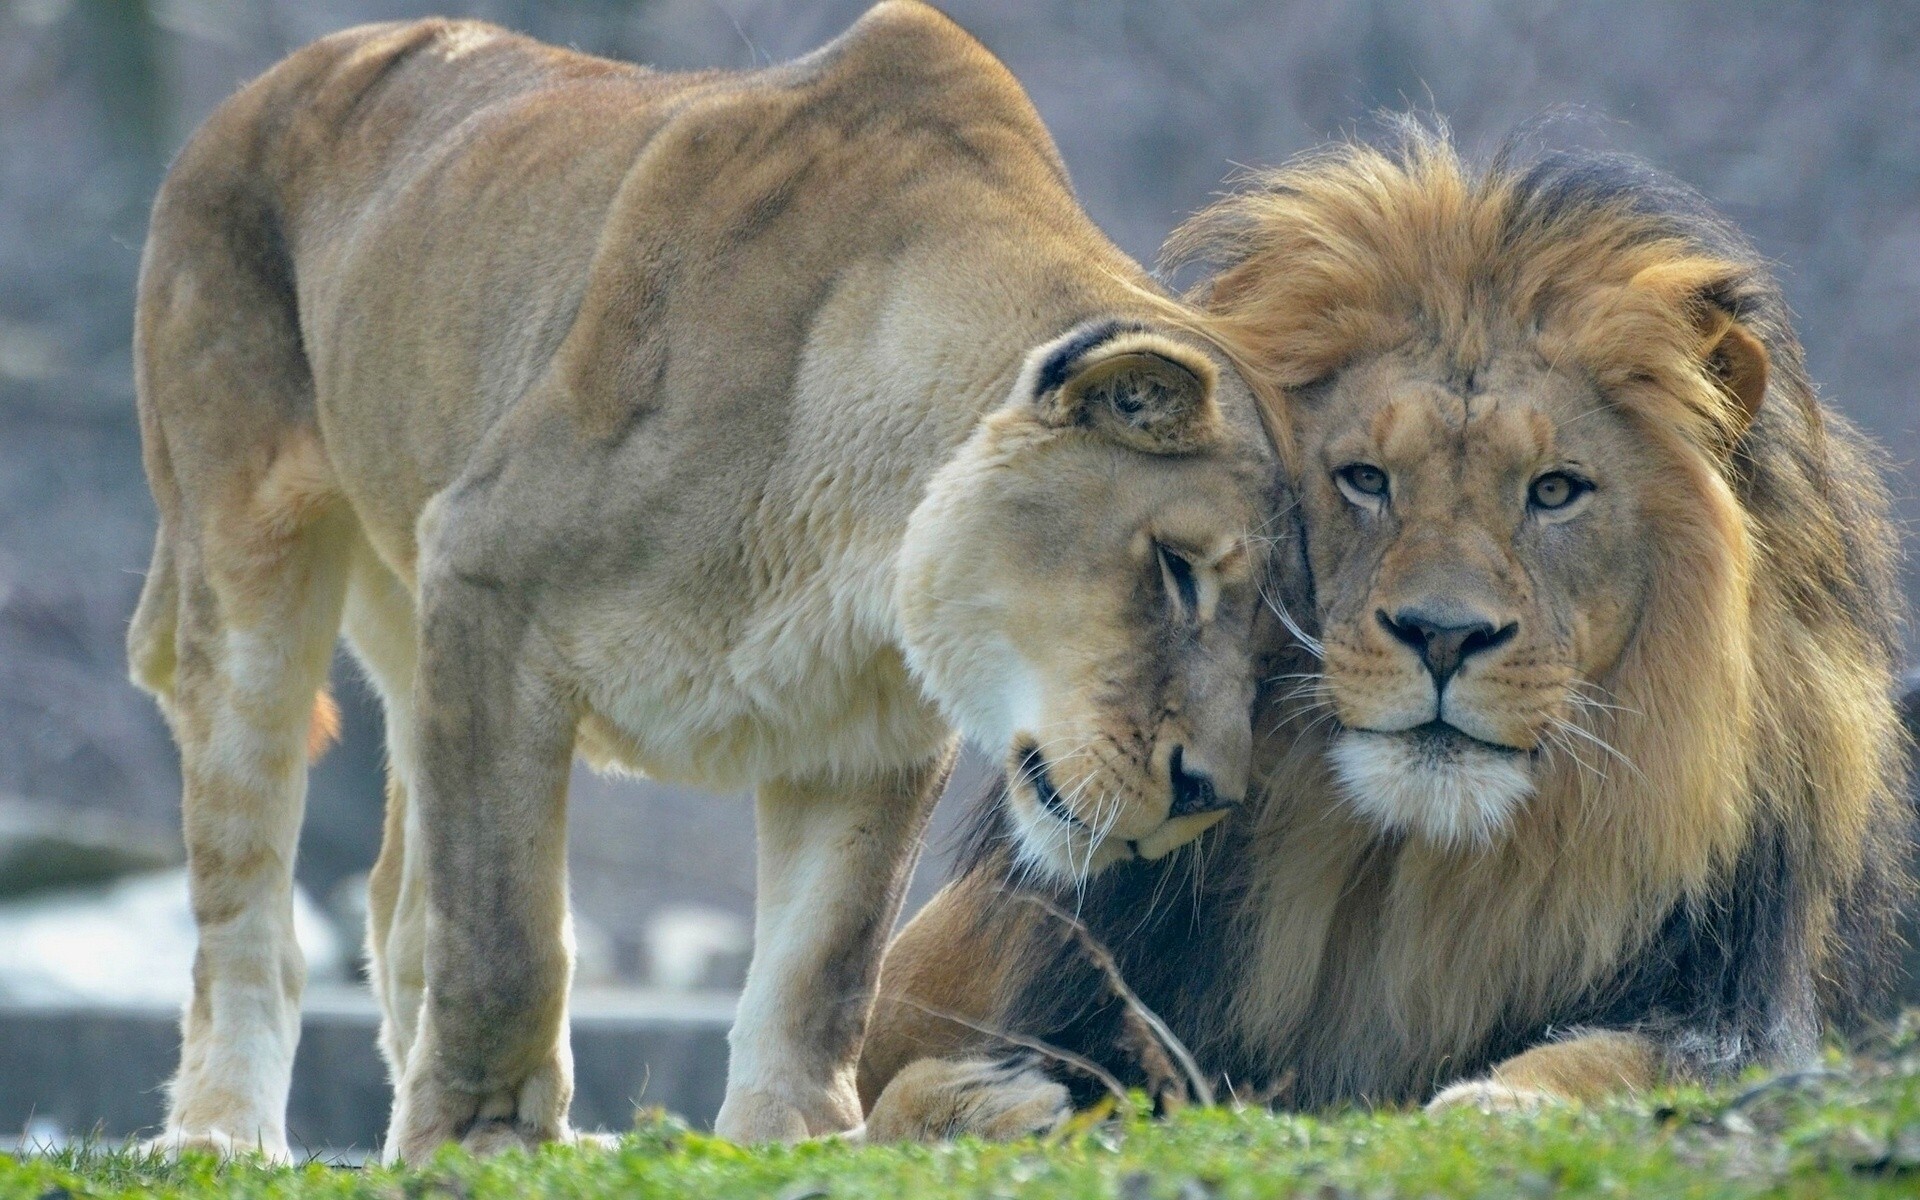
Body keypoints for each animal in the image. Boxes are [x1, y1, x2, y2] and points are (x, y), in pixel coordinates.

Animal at [125, 2, 1280, 1161]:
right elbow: (504, 936)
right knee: (248, 905)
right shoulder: (486, 575)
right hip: (246, 567)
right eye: (1177, 569)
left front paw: (800, 1137)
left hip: (413, 623)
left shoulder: (872, 724)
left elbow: (825, 961)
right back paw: (221, 1135)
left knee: (397, 901)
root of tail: (268, 85)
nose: (1210, 793)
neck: (857, 519)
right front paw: (486, 1140)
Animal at [857, 124, 1913, 1139]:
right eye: (1365, 479)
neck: (1397, 887)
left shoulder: (1750, 1022)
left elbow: (1627, 1062)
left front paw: (1501, 1106)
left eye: (1555, 491)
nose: (1443, 636)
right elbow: (876, 1095)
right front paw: (982, 1103)